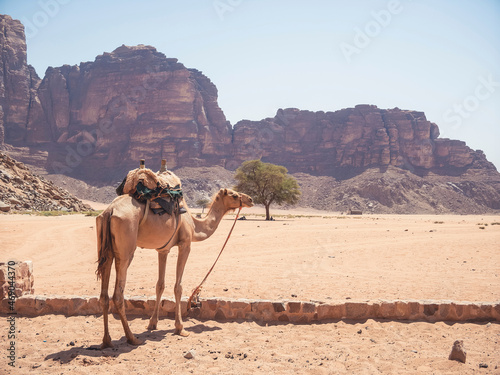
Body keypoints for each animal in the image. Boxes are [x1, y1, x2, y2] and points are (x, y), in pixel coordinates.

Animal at [95, 179, 254, 350]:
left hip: (107, 250)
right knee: (118, 295)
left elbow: (160, 285)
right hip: (125, 250)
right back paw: (132, 338)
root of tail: (109, 211)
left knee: (104, 295)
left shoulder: (163, 250)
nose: (250, 199)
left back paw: (107, 341)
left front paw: (152, 324)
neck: (194, 225)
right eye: (234, 195)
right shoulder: (185, 244)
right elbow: (178, 287)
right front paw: (180, 328)